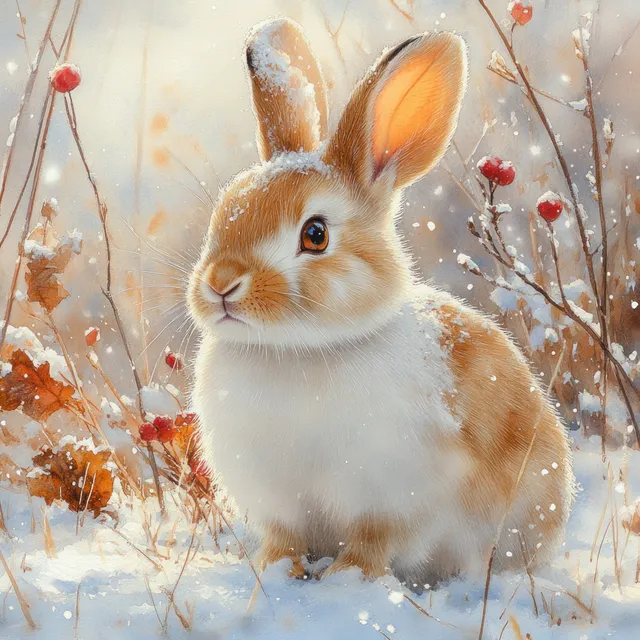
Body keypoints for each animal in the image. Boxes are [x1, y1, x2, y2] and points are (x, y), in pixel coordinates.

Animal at [187, 17, 574, 586]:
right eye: (223, 211)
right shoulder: (278, 502)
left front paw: (350, 577)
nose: (220, 283)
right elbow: (285, 538)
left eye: (316, 235)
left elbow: (374, 540)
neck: (299, 351)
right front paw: (273, 568)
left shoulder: (395, 495)